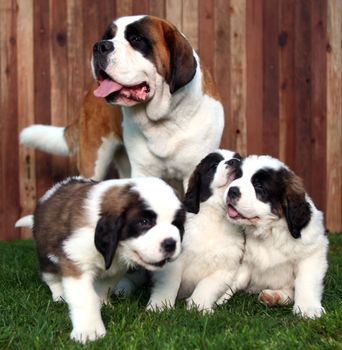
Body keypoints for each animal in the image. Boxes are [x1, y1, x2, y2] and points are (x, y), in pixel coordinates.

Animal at [15, 176, 187, 344]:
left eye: (176, 224)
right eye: (144, 222)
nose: (171, 244)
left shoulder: (115, 269)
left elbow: (106, 286)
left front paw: (103, 303)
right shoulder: (76, 262)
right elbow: (86, 298)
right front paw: (89, 331)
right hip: (45, 254)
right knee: (51, 277)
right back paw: (59, 296)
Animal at [19, 14, 224, 186]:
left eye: (136, 39)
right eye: (107, 36)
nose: (100, 46)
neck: (166, 117)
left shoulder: (193, 171)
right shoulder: (143, 171)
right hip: (94, 160)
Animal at [146, 150, 243, 312]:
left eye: (240, 160)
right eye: (213, 166)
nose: (234, 162)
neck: (215, 217)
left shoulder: (226, 267)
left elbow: (207, 285)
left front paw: (199, 307)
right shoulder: (174, 258)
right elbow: (169, 282)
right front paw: (159, 306)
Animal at [216, 154, 328, 318]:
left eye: (259, 186)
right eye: (238, 177)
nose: (232, 190)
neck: (269, 231)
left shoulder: (312, 252)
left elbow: (306, 281)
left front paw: (308, 308)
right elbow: (233, 279)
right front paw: (215, 298)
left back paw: (275, 296)